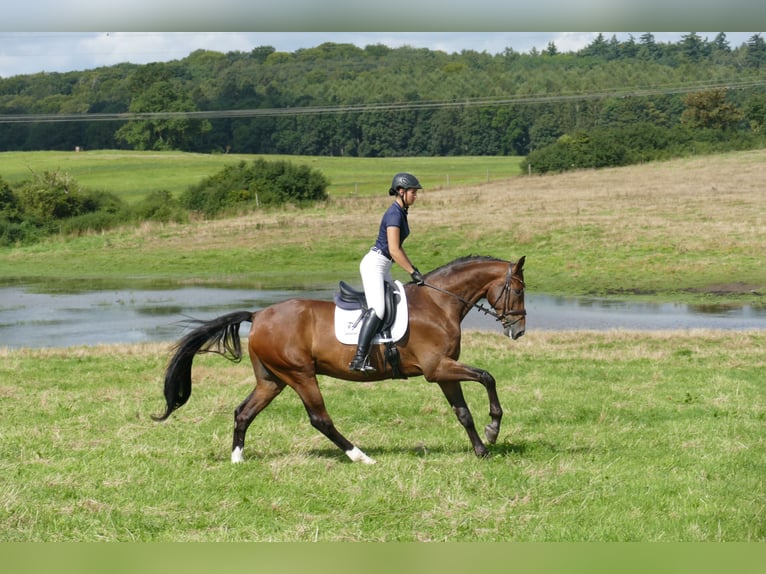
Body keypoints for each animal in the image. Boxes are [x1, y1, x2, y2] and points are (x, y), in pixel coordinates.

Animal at [154, 255, 528, 464]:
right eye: (520, 290)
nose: (519, 330)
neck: (439, 303)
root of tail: (258, 315)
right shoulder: (438, 369)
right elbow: (488, 377)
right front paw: (494, 429)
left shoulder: (444, 371)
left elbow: (463, 413)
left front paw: (482, 450)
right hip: (300, 375)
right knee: (320, 419)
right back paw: (361, 457)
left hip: (272, 380)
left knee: (243, 412)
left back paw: (237, 459)